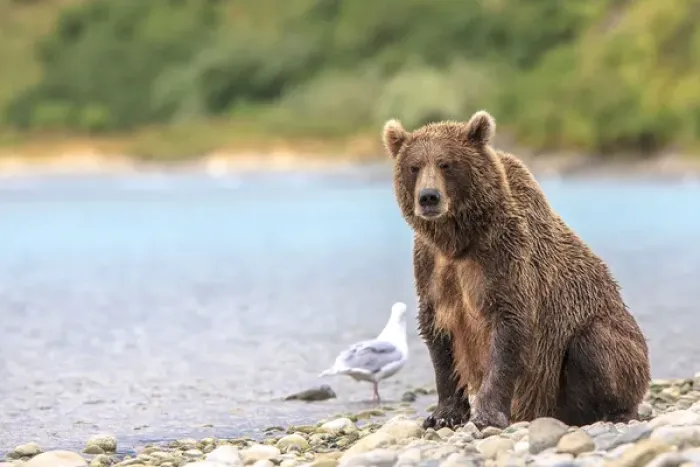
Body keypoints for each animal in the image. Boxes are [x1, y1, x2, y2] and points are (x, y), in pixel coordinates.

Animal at [382, 110, 651, 430]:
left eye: (447, 164)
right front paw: (442, 415)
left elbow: (509, 330)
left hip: (610, 347)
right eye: (414, 166)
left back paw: (617, 412)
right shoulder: (431, 267)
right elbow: (439, 336)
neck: (459, 241)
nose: (428, 197)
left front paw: (487, 415)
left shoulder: (506, 259)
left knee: (596, 344)